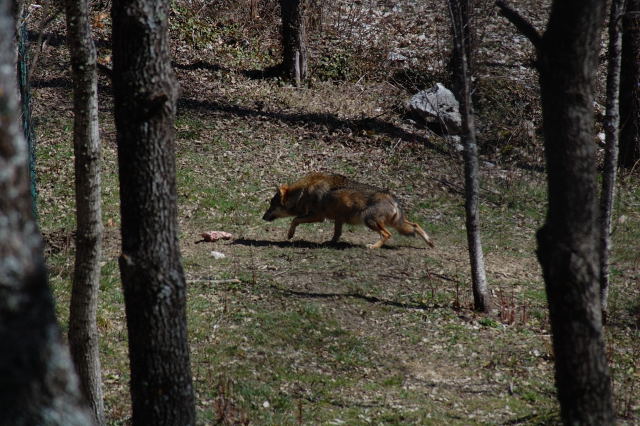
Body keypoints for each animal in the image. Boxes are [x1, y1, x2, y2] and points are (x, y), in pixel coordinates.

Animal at [262, 171, 436, 248]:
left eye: (271, 205)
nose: (262, 217)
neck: (303, 193)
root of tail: (392, 198)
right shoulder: (338, 219)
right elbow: (336, 234)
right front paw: (329, 243)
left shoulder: (318, 217)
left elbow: (294, 219)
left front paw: (290, 235)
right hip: (396, 223)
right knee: (415, 225)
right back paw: (430, 242)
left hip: (369, 221)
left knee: (387, 234)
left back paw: (372, 247)